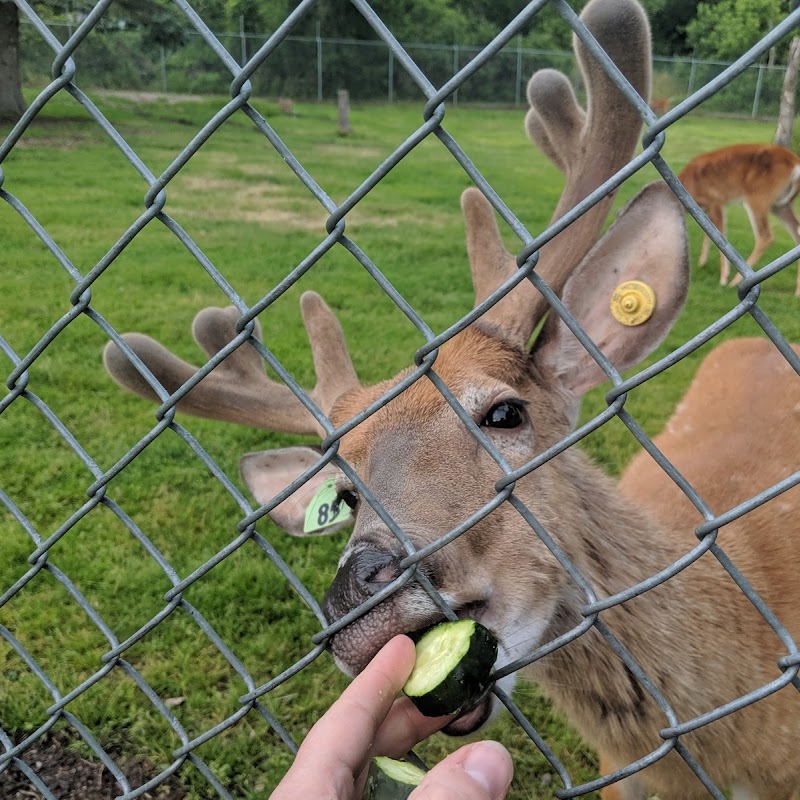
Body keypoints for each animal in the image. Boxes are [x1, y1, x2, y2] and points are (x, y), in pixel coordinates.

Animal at [680, 142, 800, 296]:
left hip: (757, 196)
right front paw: (702, 263)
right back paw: (797, 292)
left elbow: (721, 238)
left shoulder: (716, 202)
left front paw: (723, 278)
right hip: (780, 205)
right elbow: (709, 234)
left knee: (765, 236)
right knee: (796, 233)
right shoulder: (704, 209)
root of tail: (795, 162)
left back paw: (736, 282)